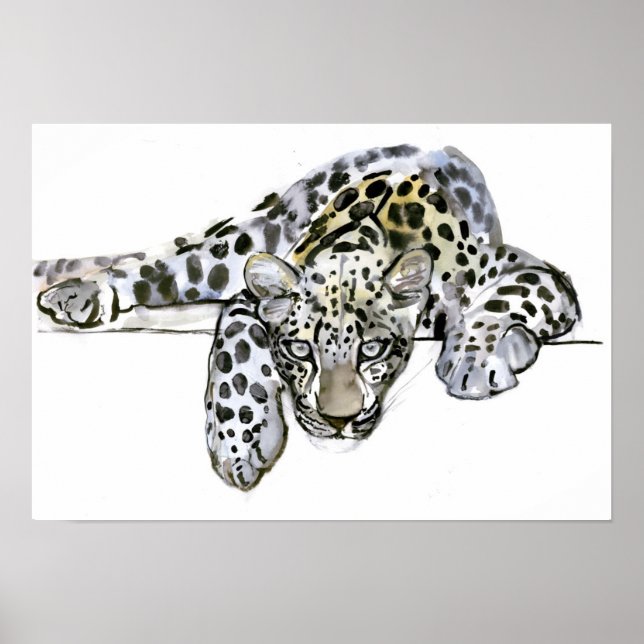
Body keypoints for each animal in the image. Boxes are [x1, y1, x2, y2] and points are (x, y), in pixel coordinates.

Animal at [33, 144, 581, 490]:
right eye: (299, 350)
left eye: (373, 349)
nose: (337, 421)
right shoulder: (251, 294)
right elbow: (236, 350)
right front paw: (240, 443)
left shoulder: (535, 271)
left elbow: (500, 299)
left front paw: (471, 362)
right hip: (238, 245)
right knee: (158, 266)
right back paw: (77, 294)